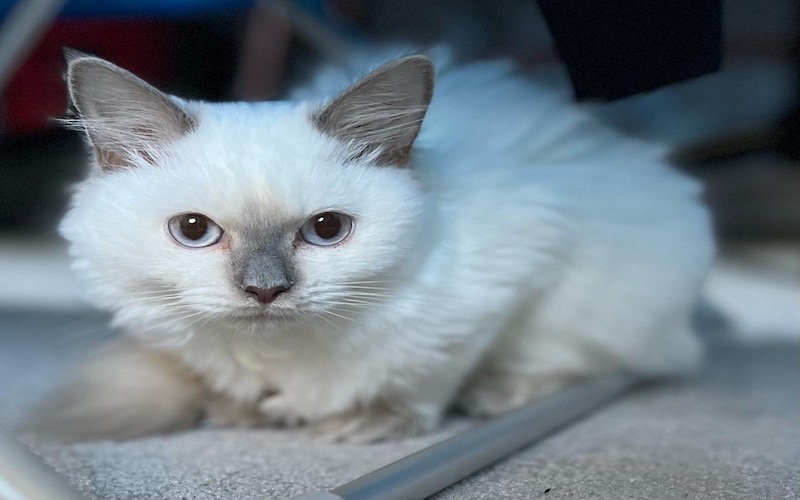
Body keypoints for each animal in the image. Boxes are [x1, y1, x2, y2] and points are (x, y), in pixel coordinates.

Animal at [34, 47, 716, 442]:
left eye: (326, 230)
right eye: (195, 231)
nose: (264, 290)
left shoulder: (511, 278)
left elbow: (429, 376)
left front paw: (370, 419)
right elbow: (234, 383)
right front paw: (246, 408)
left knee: (592, 363)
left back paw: (497, 394)